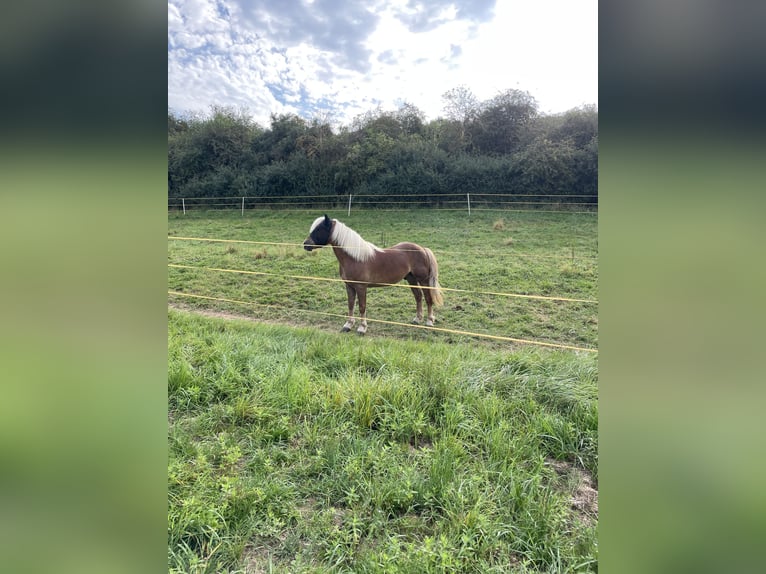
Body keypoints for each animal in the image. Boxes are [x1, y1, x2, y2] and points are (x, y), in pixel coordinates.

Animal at [302, 215, 440, 332]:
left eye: (319, 229)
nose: (305, 244)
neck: (354, 258)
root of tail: (423, 249)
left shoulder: (361, 287)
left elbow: (362, 306)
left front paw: (362, 328)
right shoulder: (349, 286)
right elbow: (350, 304)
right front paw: (348, 325)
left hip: (423, 280)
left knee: (428, 298)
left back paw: (429, 321)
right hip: (411, 279)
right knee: (418, 297)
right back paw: (417, 319)